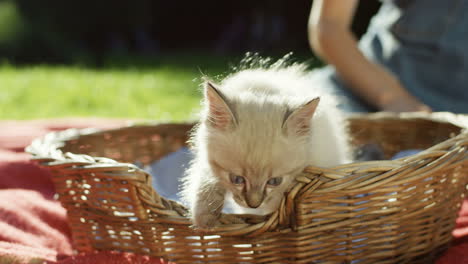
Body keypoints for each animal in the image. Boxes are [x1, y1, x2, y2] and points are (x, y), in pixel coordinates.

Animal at [181, 60, 350, 228]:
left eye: (274, 181)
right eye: (237, 179)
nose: (254, 205)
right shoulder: (205, 158)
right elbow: (206, 178)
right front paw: (206, 219)